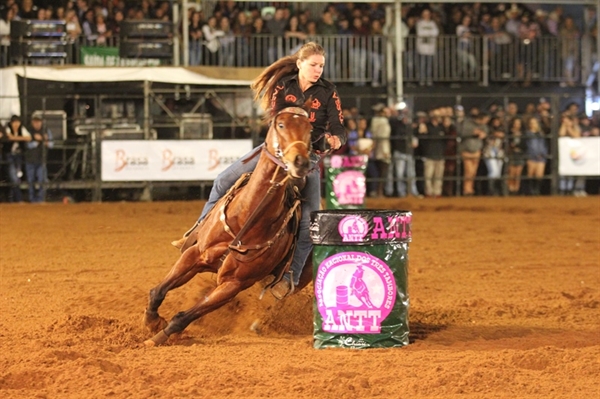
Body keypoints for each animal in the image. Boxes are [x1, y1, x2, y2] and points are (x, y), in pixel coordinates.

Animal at [144, 105, 314, 346]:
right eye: (281, 125)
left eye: (309, 129)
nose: (300, 162)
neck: (246, 218)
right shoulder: (195, 255)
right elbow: (158, 290)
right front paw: (151, 321)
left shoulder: (234, 284)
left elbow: (183, 317)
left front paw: (157, 337)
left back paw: (257, 324)